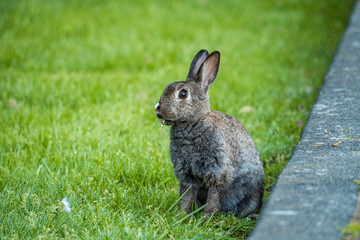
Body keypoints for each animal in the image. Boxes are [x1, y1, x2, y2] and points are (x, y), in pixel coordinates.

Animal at [155, 48, 264, 218]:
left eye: (183, 94)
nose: (157, 109)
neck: (193, 123)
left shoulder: (218, 171)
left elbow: (214, 196)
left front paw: (207, 217)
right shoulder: (187, 175)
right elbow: (186, 196)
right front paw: (181, 216)